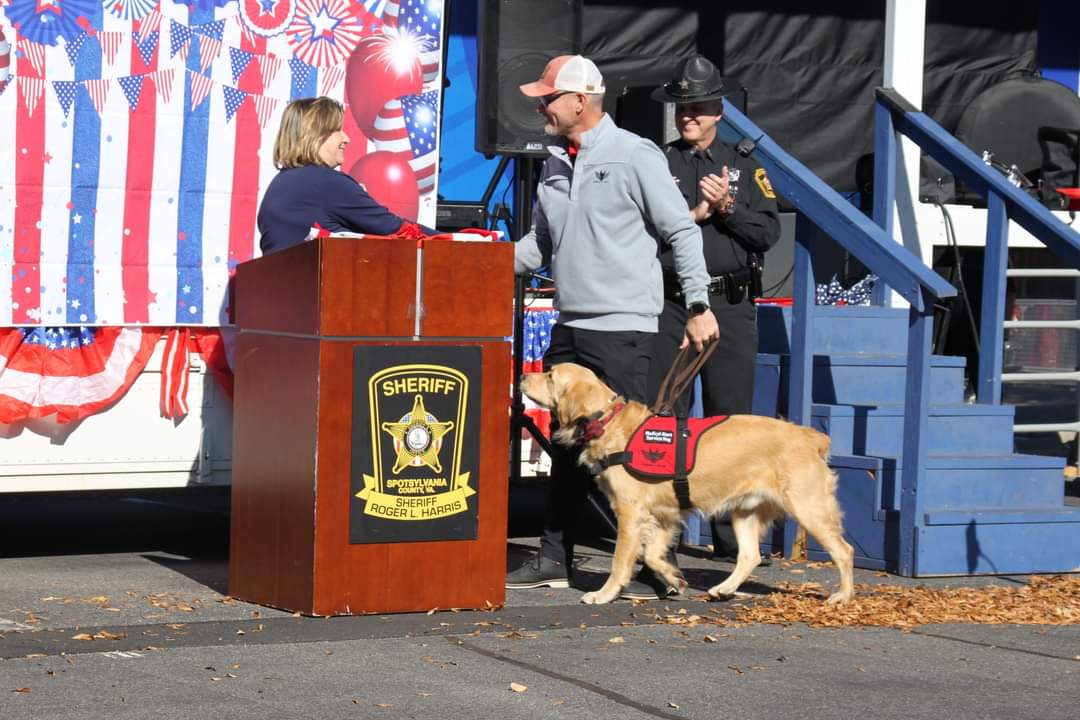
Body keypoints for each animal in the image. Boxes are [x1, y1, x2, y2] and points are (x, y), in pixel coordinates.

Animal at [518, 362, 855, 604]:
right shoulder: (666, 515)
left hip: (808, 509)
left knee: (844, 551)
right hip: (745, 511)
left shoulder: (630, 513)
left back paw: (843, 595)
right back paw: (724, 588)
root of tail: (809, 435)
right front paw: (673, 579)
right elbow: (652, 555)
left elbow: (621, 561)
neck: (609, 424)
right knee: (750, 555)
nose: (521, 374)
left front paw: (604, 594)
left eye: (550, 375)